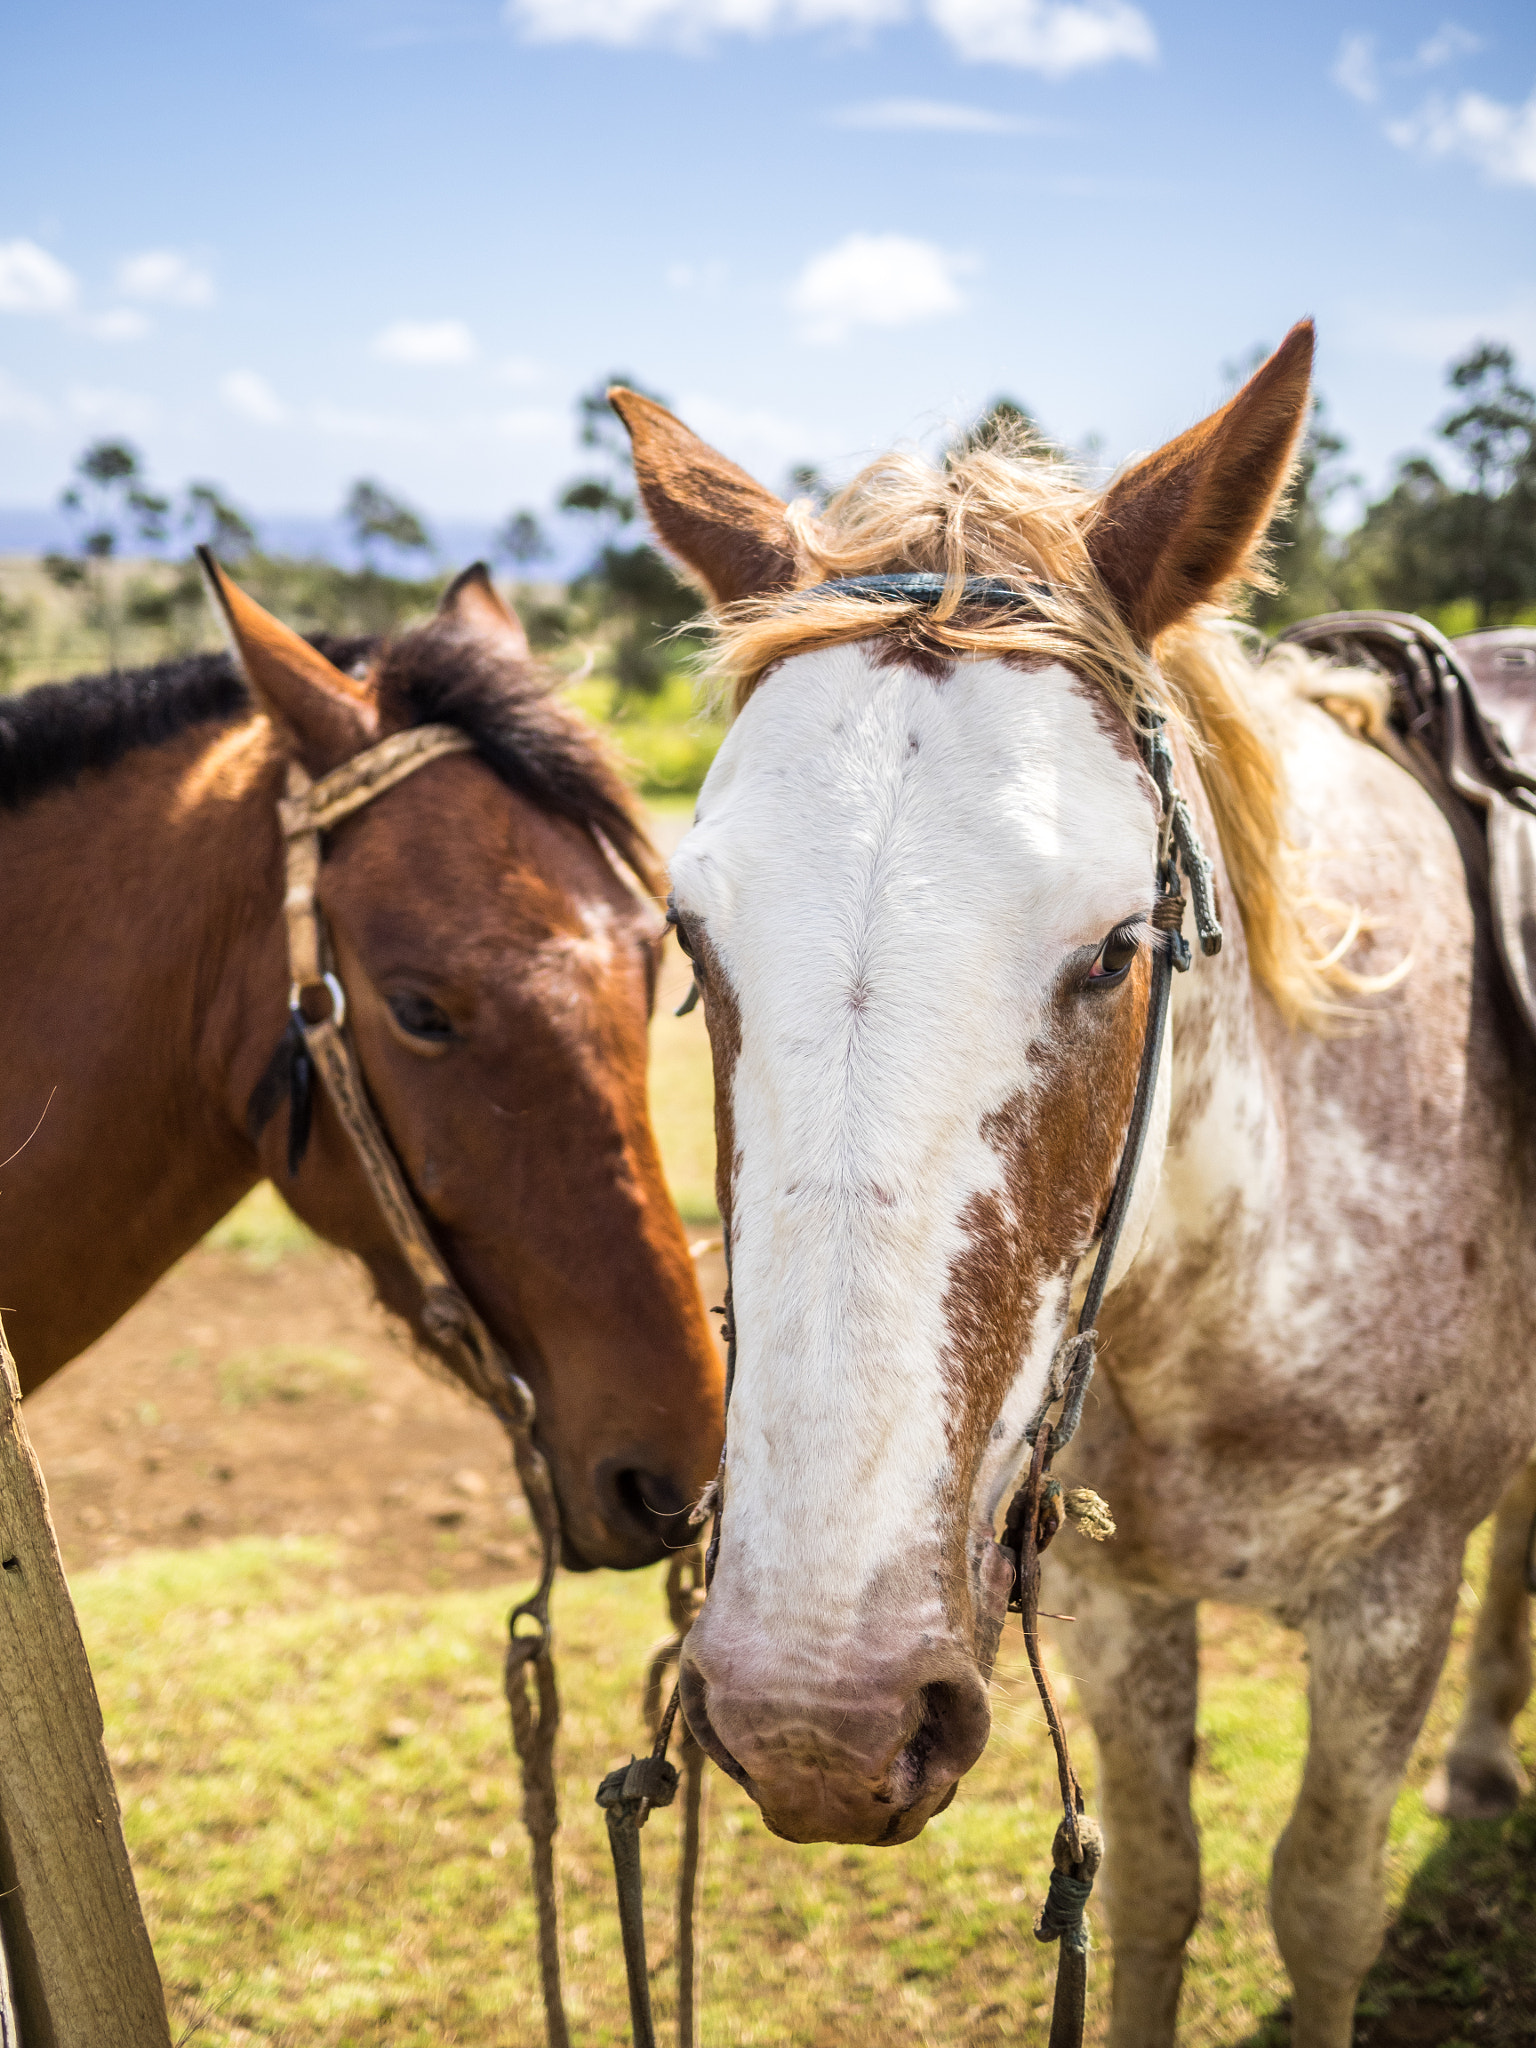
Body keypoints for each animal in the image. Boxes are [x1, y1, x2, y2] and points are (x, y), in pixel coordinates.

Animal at [606, 327, 1536, 2045]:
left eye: (1115, 947)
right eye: (689, 936)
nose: (815, 1718)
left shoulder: (1389, 1606)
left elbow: (1322, 1904)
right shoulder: (1113, 1603)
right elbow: (1158, 1885)